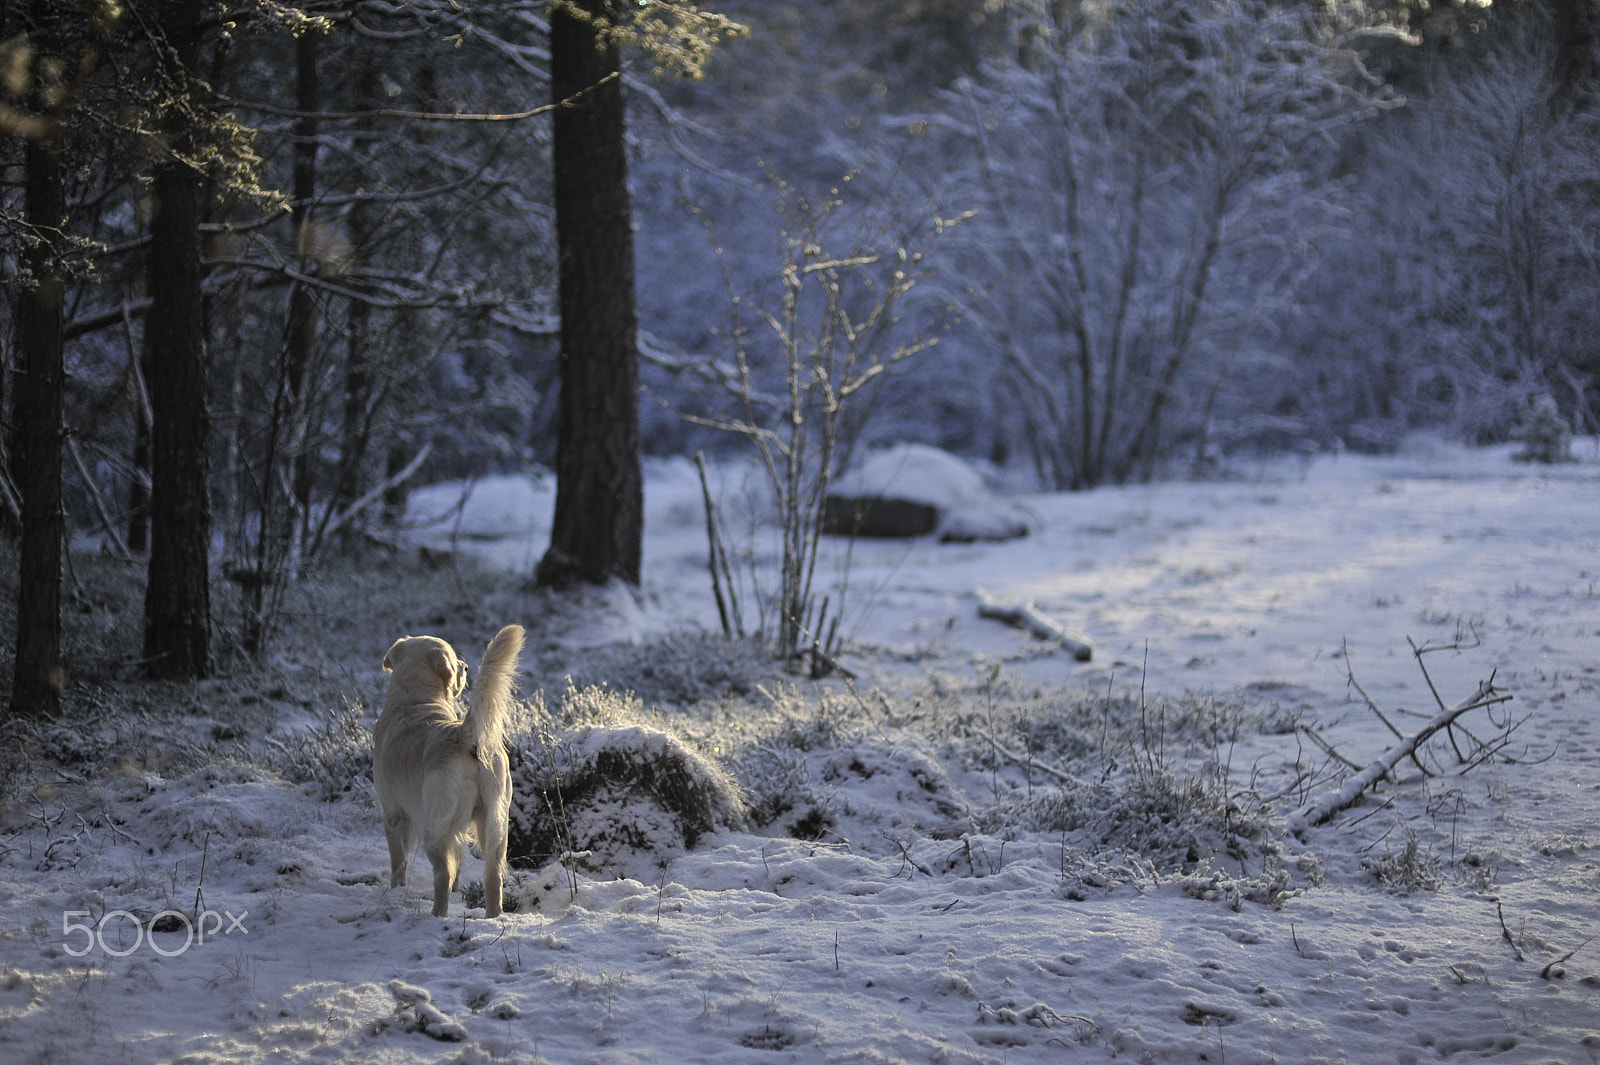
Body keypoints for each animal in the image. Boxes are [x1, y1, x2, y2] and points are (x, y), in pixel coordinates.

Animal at [374, 623, 524, 914]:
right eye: (455, 659)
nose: (464, 666)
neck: (415, 701)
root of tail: (465, 735)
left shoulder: (393, 813)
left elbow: (398, 861)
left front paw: (396, 889)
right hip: (495, 823)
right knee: (492, 875)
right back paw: (493, 916)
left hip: (435, 825)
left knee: (443, 874)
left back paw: (437, 914)